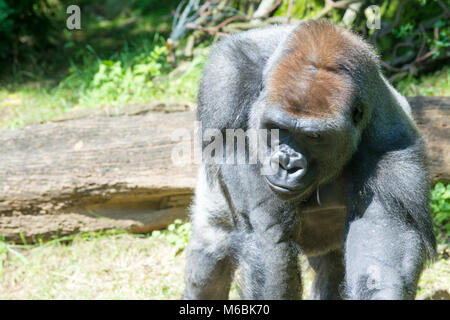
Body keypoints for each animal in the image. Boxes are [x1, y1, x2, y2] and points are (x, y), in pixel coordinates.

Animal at [183, 20, 436, 300]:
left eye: (314, 136)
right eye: (278, 128)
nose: (287, 164)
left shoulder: (392, 145)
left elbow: (383, 246)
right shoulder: (227, 83)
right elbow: (267, 236)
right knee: (211, 247)